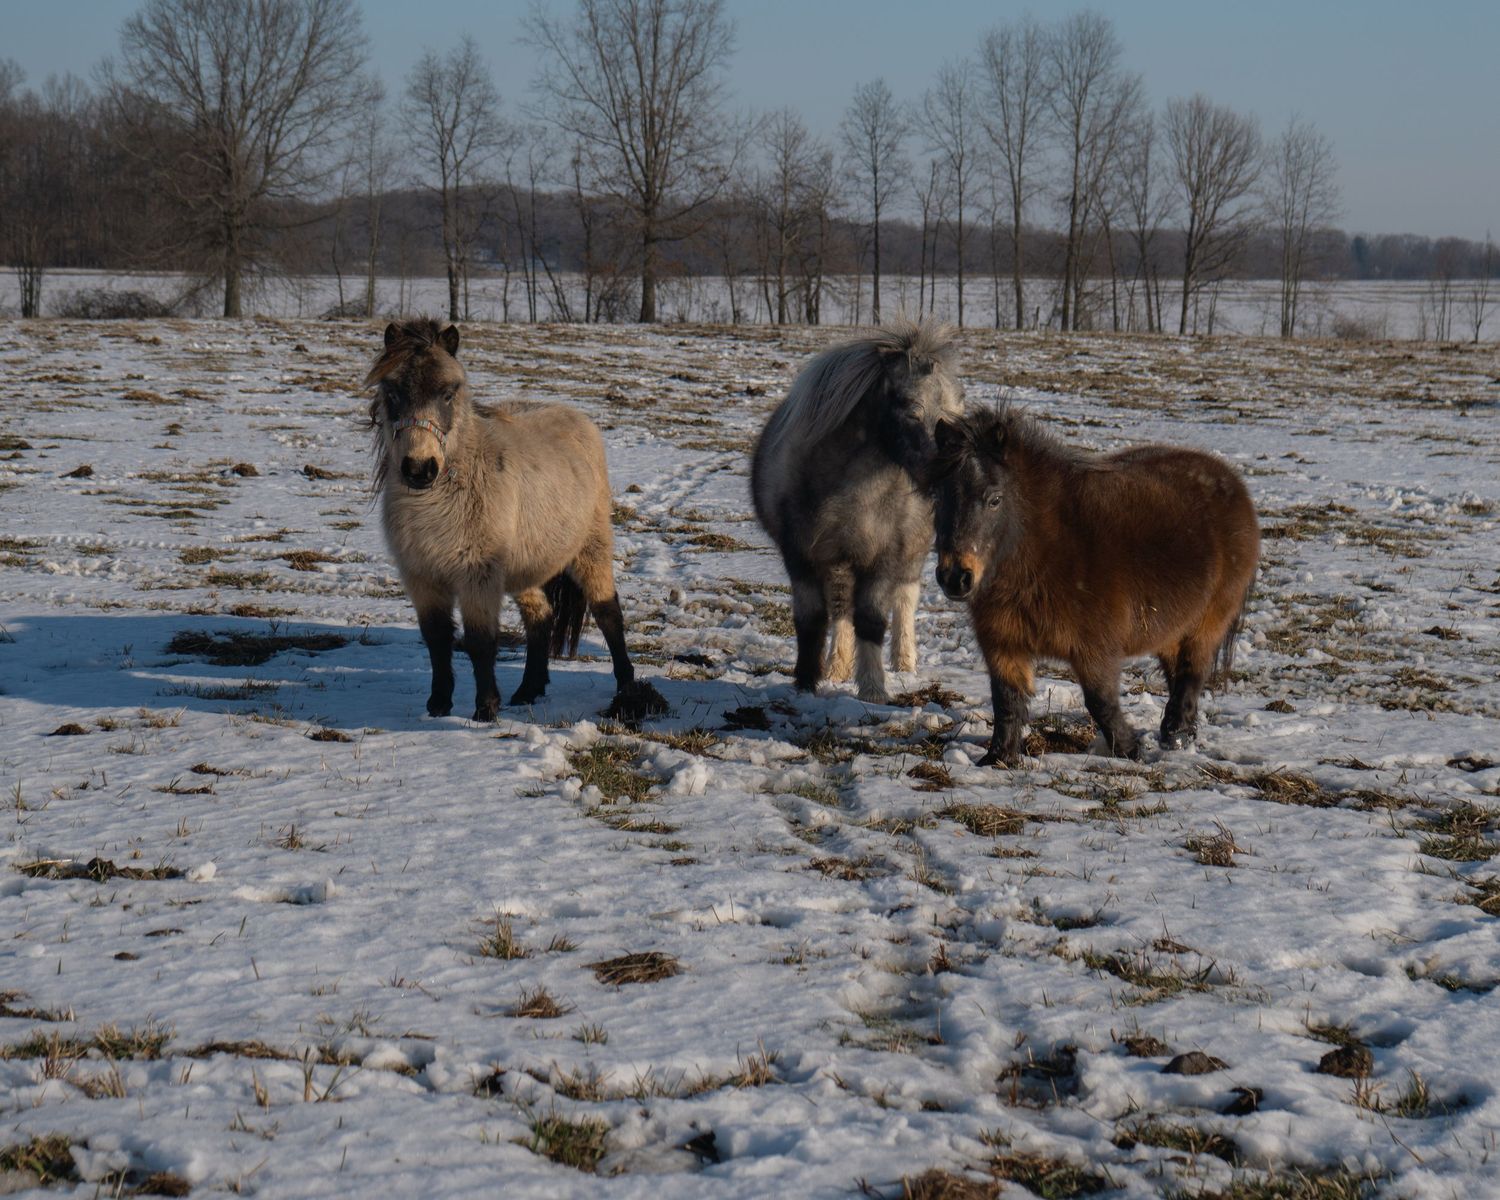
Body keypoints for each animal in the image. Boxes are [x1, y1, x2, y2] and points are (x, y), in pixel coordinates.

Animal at [364, 318, 664, 722]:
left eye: (448, 393)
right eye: (392, 391)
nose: (419, 469)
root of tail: (575, 417)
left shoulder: (477, 575)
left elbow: (480, 641)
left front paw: (485, 708)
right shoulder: (422, 577)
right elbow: (437, 639)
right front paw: (439, 704)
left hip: (590, 550)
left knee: (608, 613)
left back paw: (626, 687)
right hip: (527, 566)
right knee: (541, 618)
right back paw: (527, 691)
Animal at [751, 317, 964, 704]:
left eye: (955, 408)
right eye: (912, 407)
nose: (949, 474)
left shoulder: (883, 556)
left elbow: (872, 619)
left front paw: (873, 689)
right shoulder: (801, 556)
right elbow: (813, 619)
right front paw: (806, 683)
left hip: (911, 554)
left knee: (904, 599)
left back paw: (903, 662)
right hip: (838, 562)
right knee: (840, 609)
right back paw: (837, 666)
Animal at [929, 407, 1259, 765]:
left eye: (994, 499)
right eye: (940, 497)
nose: (955, 577)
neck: (1044, 550)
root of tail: (1232, 482)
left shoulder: (1094, 649)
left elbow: (1100, 701)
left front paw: (1130, 751)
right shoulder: (1002, 644)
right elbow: (1006, 702)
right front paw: (997, 759)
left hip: (1208, 622)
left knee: (1191, 674)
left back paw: (1176, 738)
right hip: (1172, 627)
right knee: (1178, 675)